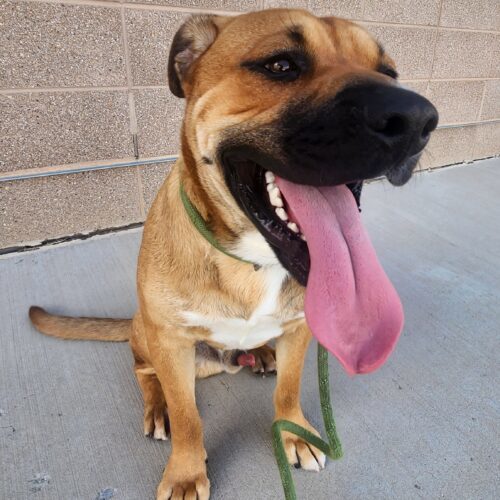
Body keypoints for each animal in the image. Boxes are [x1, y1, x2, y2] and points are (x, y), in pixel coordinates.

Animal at [30, 8, 438, 500]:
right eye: (281, 65)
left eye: (389, 72)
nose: (417, 119)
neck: (251, 261)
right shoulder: (172, 343)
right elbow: (188, 418)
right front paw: (186, 472)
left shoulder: (300, 330)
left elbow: (288, 389)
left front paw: (293, 432)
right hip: (149, 334)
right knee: (144, 371)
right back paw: (157, 406)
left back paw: (259, 354)